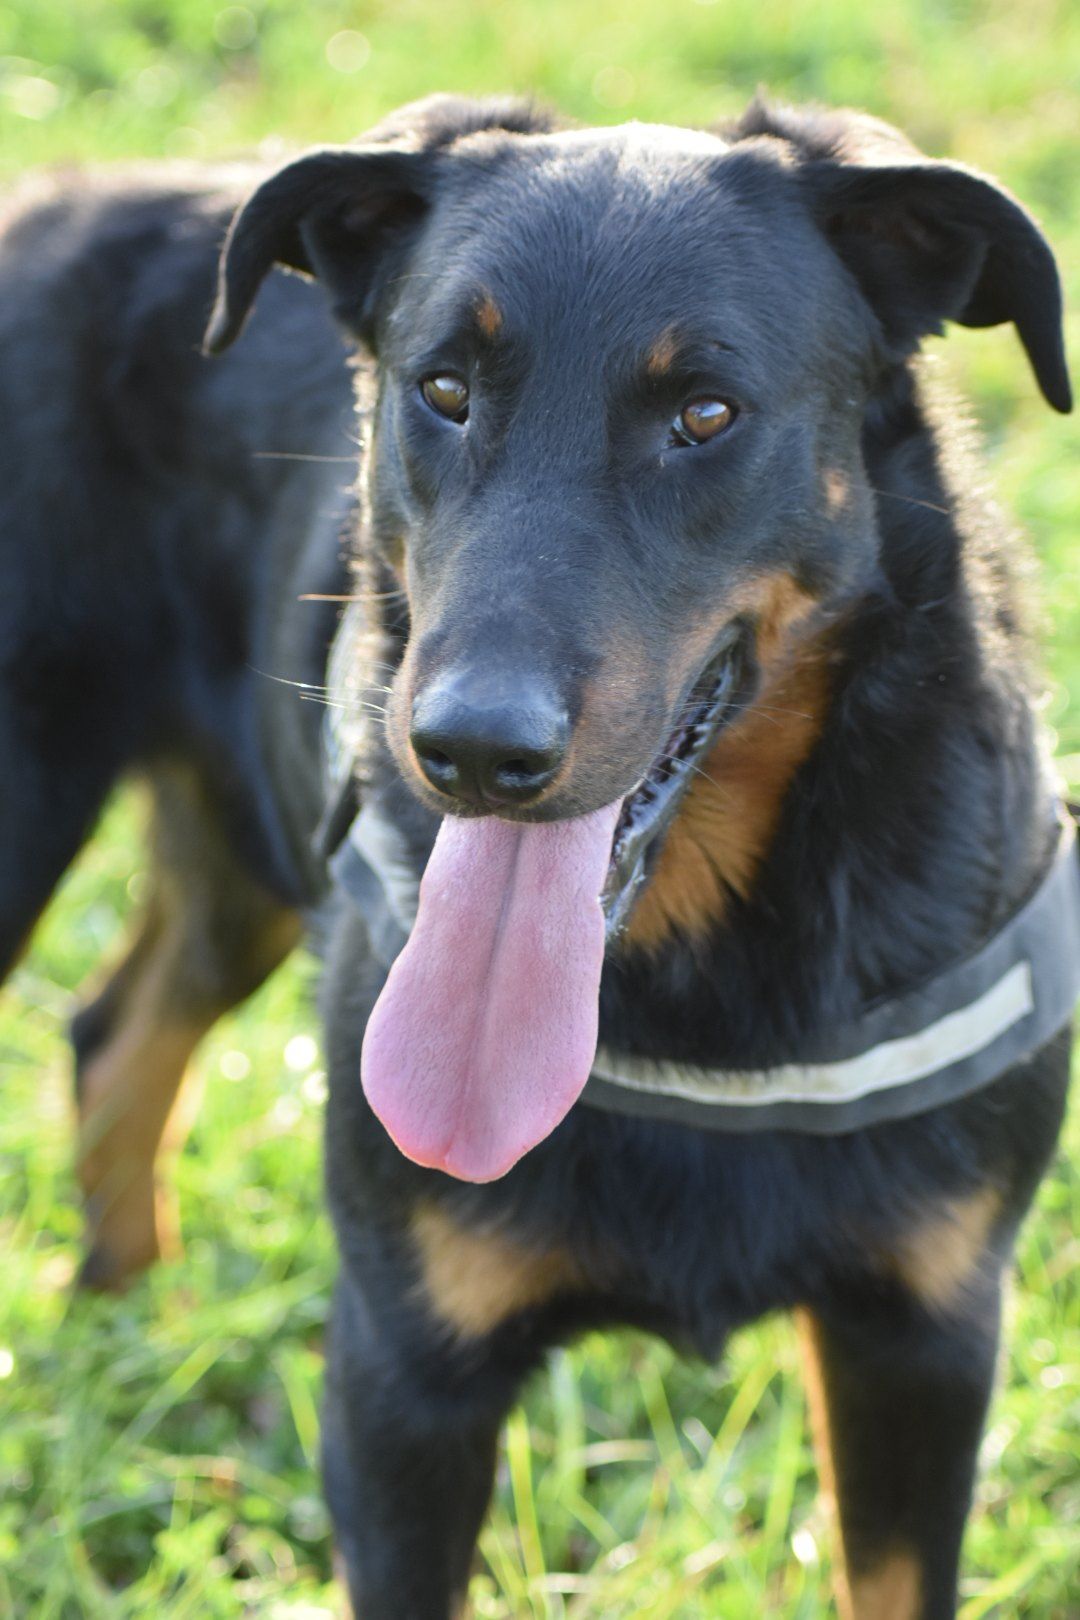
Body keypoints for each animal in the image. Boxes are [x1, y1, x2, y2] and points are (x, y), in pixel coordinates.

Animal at [4, 98, 1075, 1620]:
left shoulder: (923, 1341)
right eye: (443, 391)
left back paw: (130, 1332)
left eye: (706, 414)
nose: (469, 750)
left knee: (120, 1029)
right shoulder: (406, 1384)